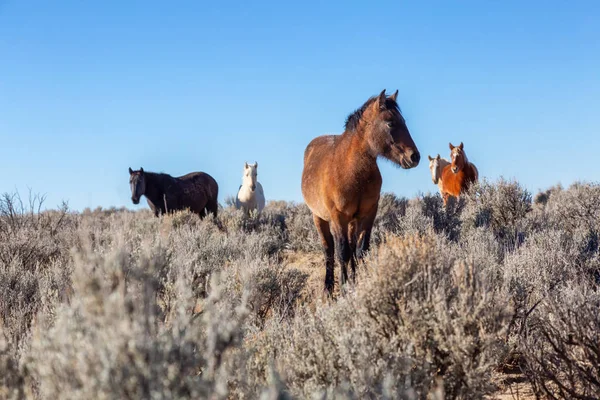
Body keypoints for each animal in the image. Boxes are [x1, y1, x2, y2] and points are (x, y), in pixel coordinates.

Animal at [300, 91, 422, 296]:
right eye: (390, 123)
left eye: (403, 121)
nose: (414, 157)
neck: (351, 169)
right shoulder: (338, 217)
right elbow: (342, 253)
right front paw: (343, 289)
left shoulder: (368, 214)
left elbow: (360, 250)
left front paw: (358, 284)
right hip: (319, 218)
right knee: (329, 250)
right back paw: (328, 288)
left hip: (352, 222)